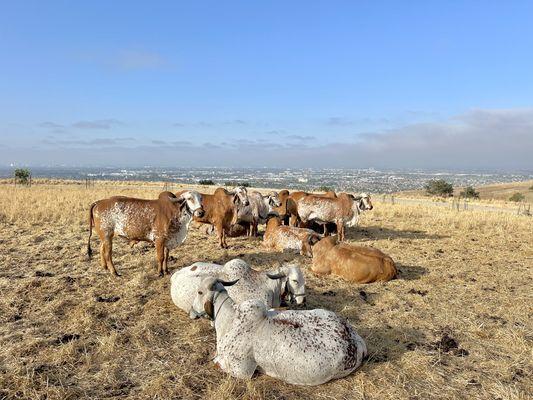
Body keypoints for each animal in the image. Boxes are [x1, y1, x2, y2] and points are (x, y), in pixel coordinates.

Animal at [189, 276, 368, 386]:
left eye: (199, 292)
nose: (191, 311)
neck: (230, 318)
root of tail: (355, 340)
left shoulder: (240, 369)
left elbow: (215, 362)